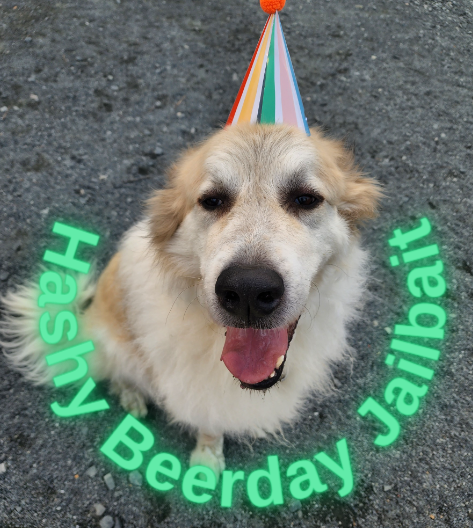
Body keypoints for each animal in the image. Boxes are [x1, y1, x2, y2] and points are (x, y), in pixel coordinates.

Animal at [1, 123, 381, 477]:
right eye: (212, 201)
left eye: (305, 199)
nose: (247, 291)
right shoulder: (198, 389)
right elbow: (210, 424)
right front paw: (206, 464)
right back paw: (132, 397)